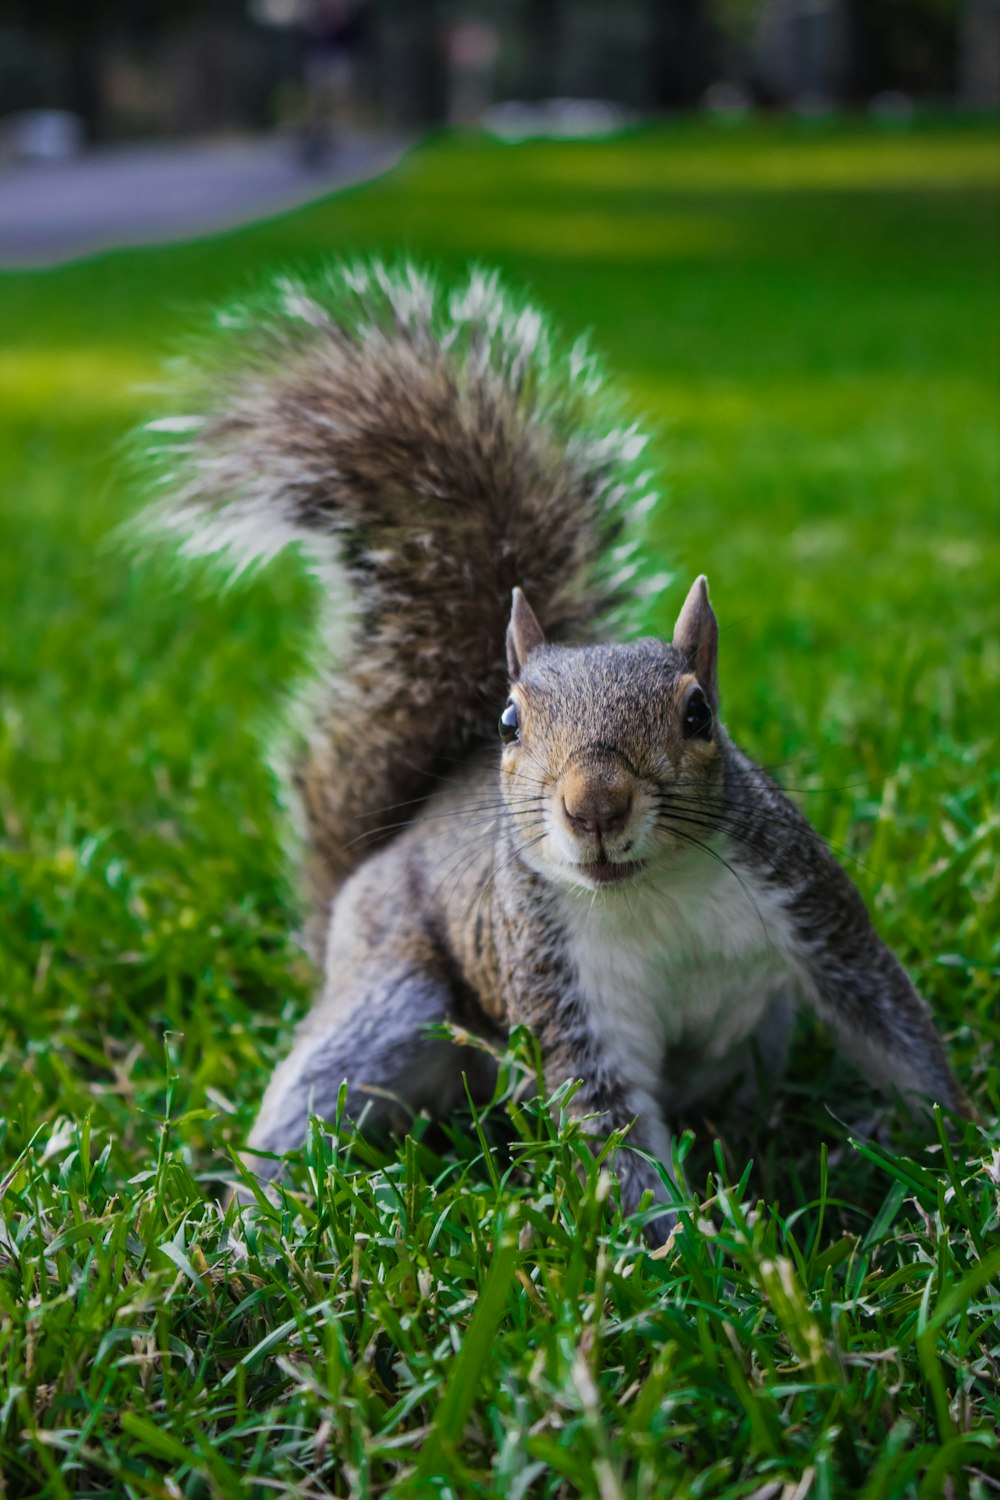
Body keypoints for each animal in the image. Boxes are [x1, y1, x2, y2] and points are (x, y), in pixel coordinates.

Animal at [148, 261, 971, 1242]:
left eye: (699, 715)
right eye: (509, 723)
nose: (595, 805)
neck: (651, 892)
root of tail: (370, 868)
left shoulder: (813, 910)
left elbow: (893, 1029)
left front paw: (965, 1151)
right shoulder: (558, 991)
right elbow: (608, 1126)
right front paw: (684, 1255)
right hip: (392, 989)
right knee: (319, 1087)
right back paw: (251, 1216)